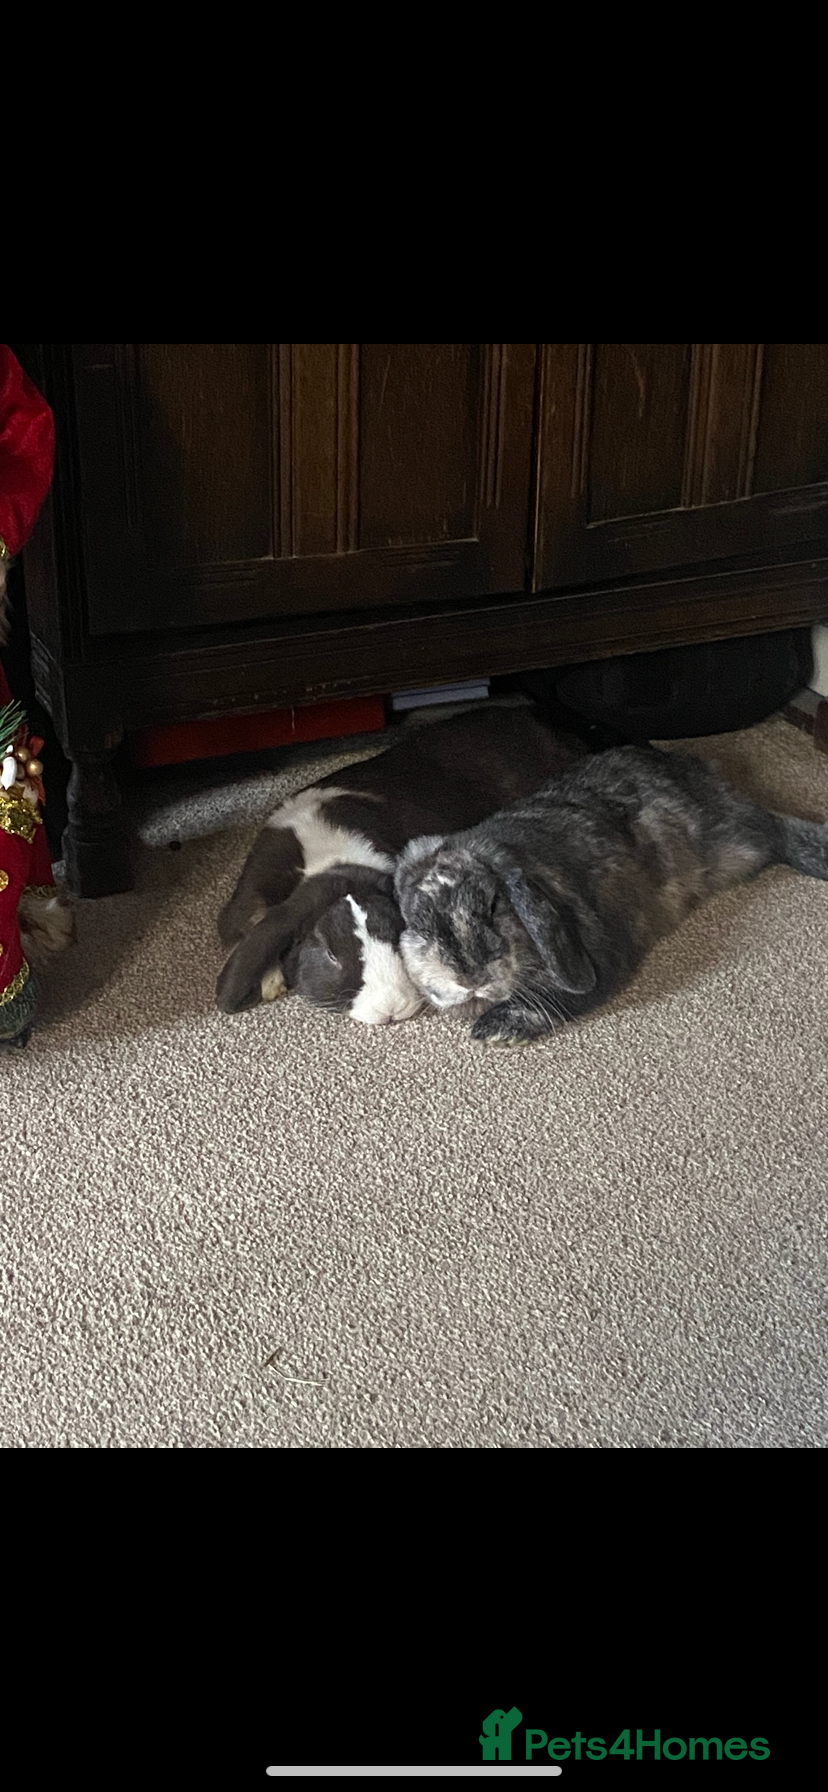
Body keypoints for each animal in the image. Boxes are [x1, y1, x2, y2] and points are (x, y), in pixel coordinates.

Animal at [394, 743, 828, 1047]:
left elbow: (560, 997)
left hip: (738, 839)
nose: (470, 976)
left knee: (775, 828)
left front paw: (496, 1031)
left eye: (493, 905)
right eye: (419, 923)